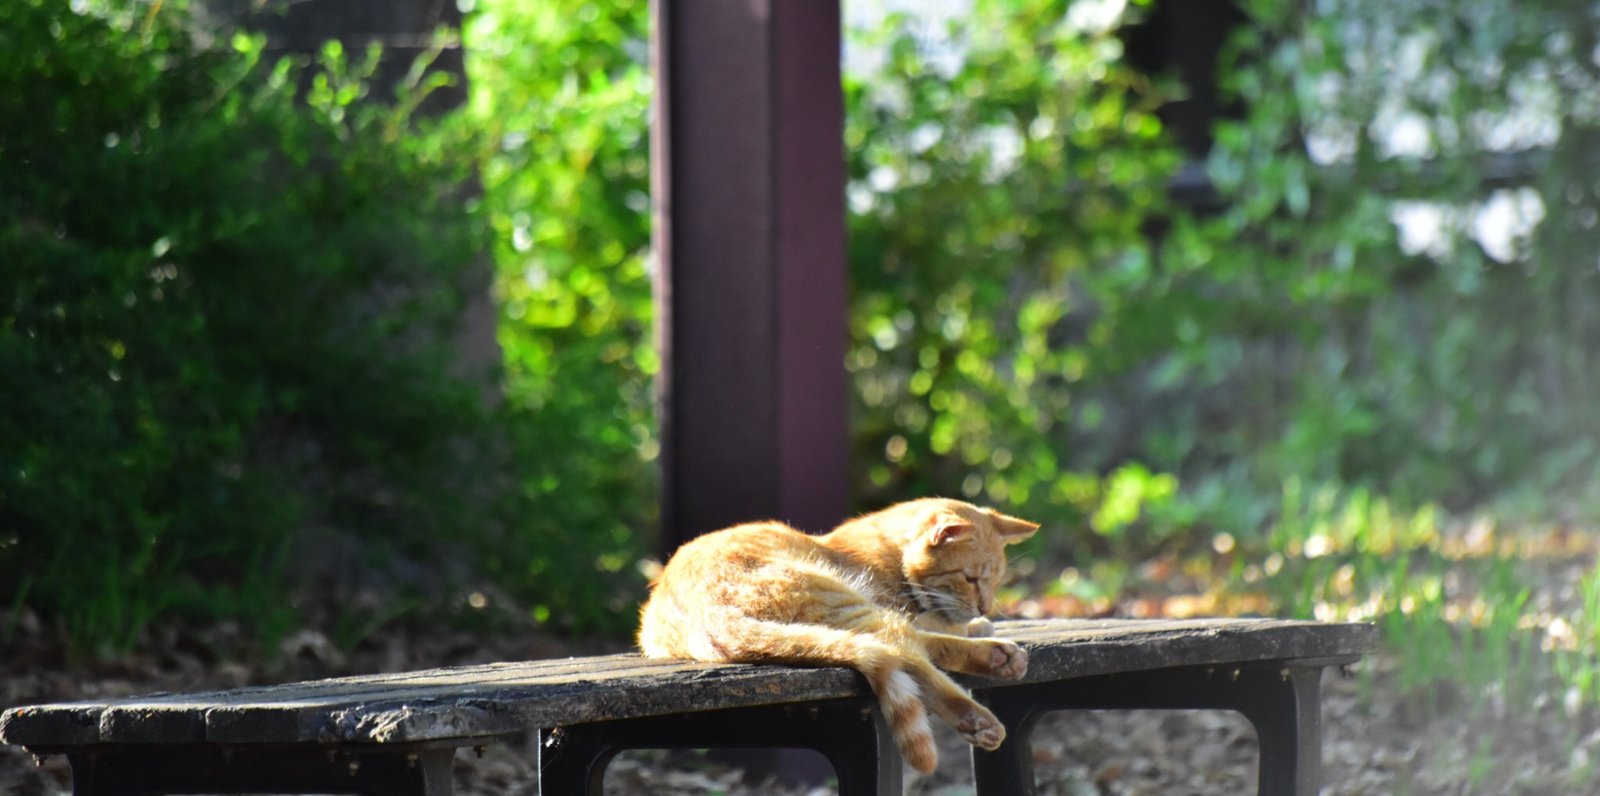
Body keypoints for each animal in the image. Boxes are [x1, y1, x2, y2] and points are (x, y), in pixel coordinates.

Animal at [636, 498, 1036, 770]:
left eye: (996, 581)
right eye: (970, 578)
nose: (985, 606)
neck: (887, 551)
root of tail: (704, 615)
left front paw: (977, 622)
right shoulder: (898, 605)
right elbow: (936, 624)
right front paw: (974, 626)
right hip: (842, 596)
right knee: (905, 646)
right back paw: (988, 679)